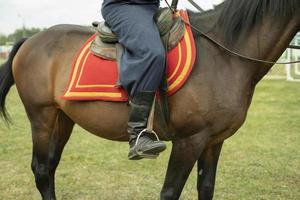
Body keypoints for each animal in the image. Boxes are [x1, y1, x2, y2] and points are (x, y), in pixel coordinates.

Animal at [0, 0, 298, 199]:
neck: (224, 54)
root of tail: (30, 40)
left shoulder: (214, 141)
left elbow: (206, 188)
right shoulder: (189, 140)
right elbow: (170, 191)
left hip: (63, 118)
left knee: (49, 167)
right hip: (41, 117)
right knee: (41, 169)